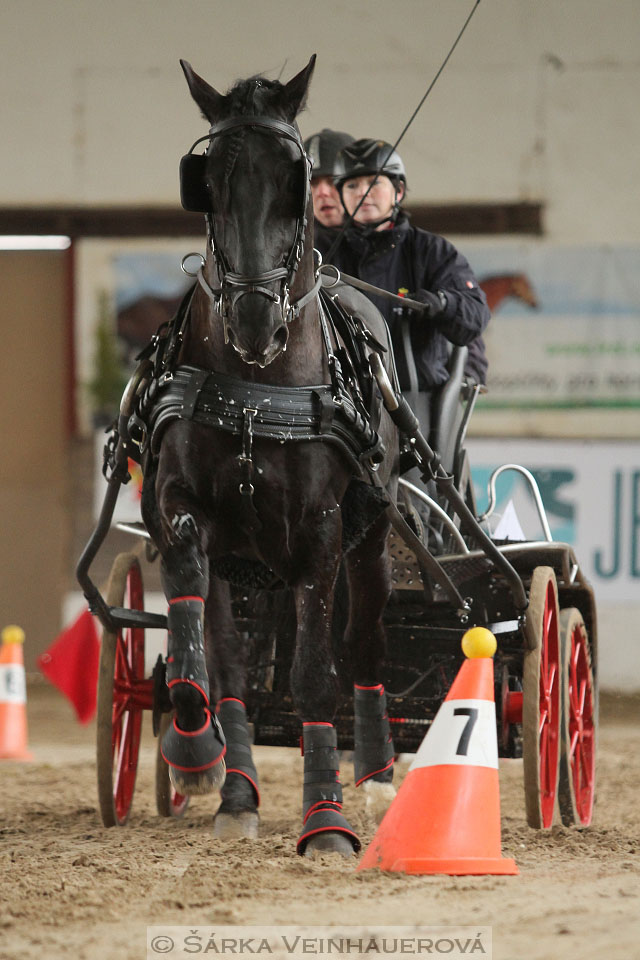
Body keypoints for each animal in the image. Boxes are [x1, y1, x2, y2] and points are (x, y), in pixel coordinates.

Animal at [142, 58, 398, 856]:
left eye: (295, 176)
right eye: (208, 180)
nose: (254, 319)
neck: (257, 387)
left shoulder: (321, 528)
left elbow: (317, 672)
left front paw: (327, 820)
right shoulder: (182, 509)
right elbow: (202, 634)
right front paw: (194, 749)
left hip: (372, 538)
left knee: (363, 643)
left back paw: (378, 775)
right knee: (233, 658)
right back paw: (236, 789)